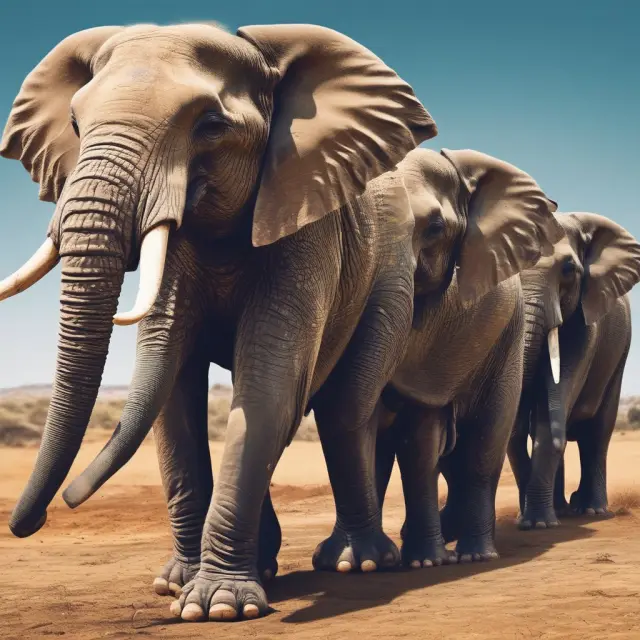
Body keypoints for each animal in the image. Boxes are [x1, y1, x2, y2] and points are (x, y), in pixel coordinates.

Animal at [0, 22, 437, 621]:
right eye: (74, 124)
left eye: (210, 126)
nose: (38, 517)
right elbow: (172, 385)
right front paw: (175, 586)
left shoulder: (305, 217)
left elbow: (269, 384)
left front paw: (218, 606)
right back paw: (271, 564)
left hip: (390, 277)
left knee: (342, 407)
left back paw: (359, 563)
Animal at [507, 212, 640, 530]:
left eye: (568, 269)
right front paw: (528, 519)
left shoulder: (585, 324)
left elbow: (555, 401)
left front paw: (537, 525)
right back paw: (563, 509)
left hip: (619, 356)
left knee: (598, 433)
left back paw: (590, 510)